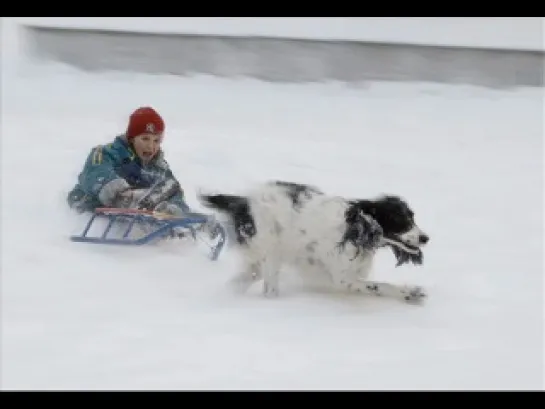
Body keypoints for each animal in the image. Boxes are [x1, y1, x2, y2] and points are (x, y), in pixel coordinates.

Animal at [199, 180, 430, 302]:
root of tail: (243, 201)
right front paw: (411, 292)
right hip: (271, 253)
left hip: (257, 262)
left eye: (413, 217)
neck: (355, 230)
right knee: (269, 289)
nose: (425, 238)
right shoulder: (343, 278)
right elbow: (380, 286)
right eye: (400, 220)